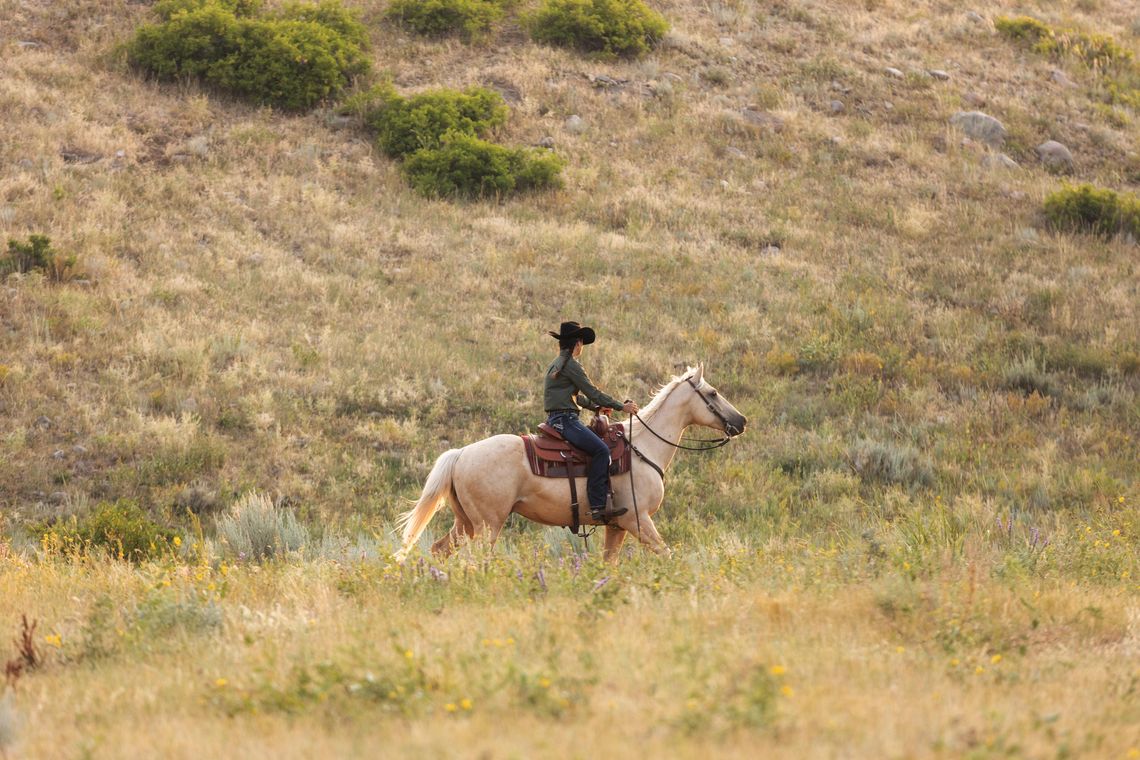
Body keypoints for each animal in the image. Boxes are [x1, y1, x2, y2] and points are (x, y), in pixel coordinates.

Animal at [394, 364, 747, 562]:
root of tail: (462, 454)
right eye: (713, 393)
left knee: (440, 549)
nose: (741, 421)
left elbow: (609, 565)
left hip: (465, 523)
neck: (642, 448)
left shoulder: (617, 526)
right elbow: (667, 554)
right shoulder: (638, 520)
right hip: (487, 525)